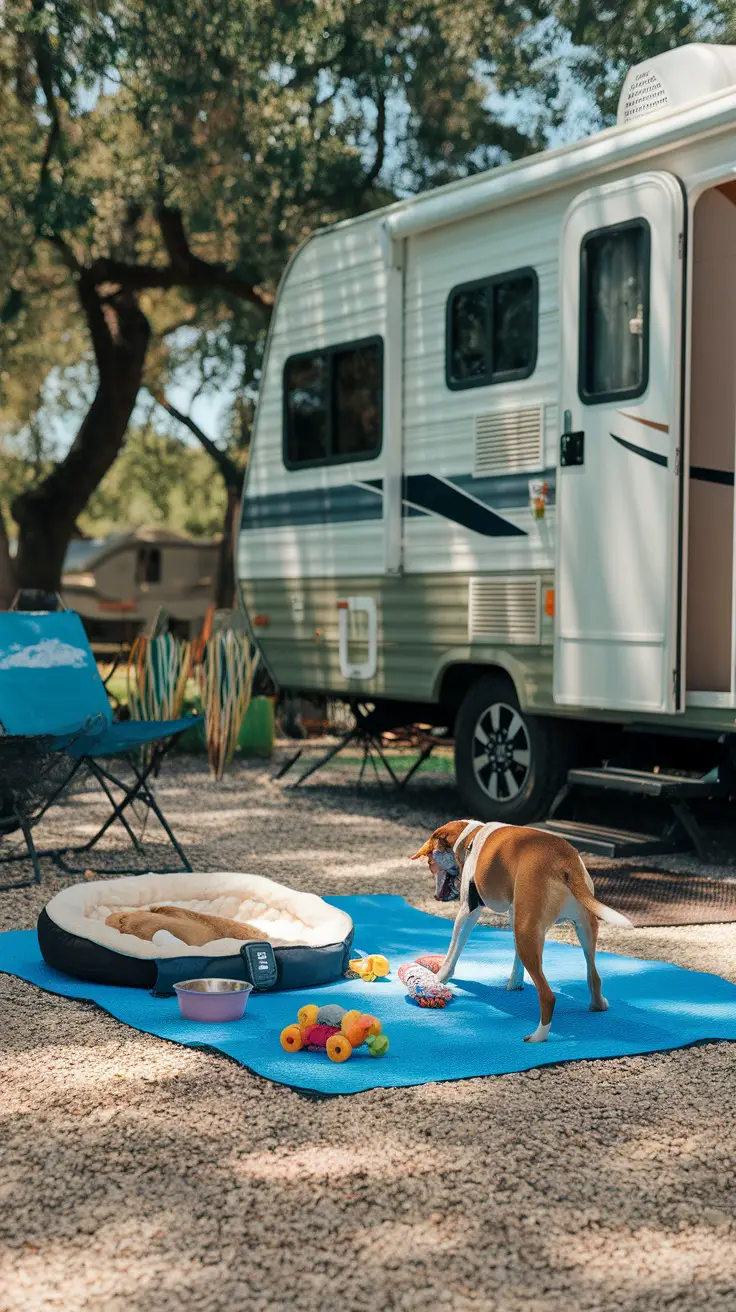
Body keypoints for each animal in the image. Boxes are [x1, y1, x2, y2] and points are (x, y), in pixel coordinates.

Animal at [406, 818, 632, 1044]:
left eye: (430, 864)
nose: (435, 896)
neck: (471, 836)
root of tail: (564, 863)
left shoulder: (468, 911)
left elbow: (452, 953)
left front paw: (437, 979)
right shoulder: (516, 914)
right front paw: (515, 982)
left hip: (528, 934)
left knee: (548, 996)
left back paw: (538, 1036)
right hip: (580, 929)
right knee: (594, 977)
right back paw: (598, 1005)